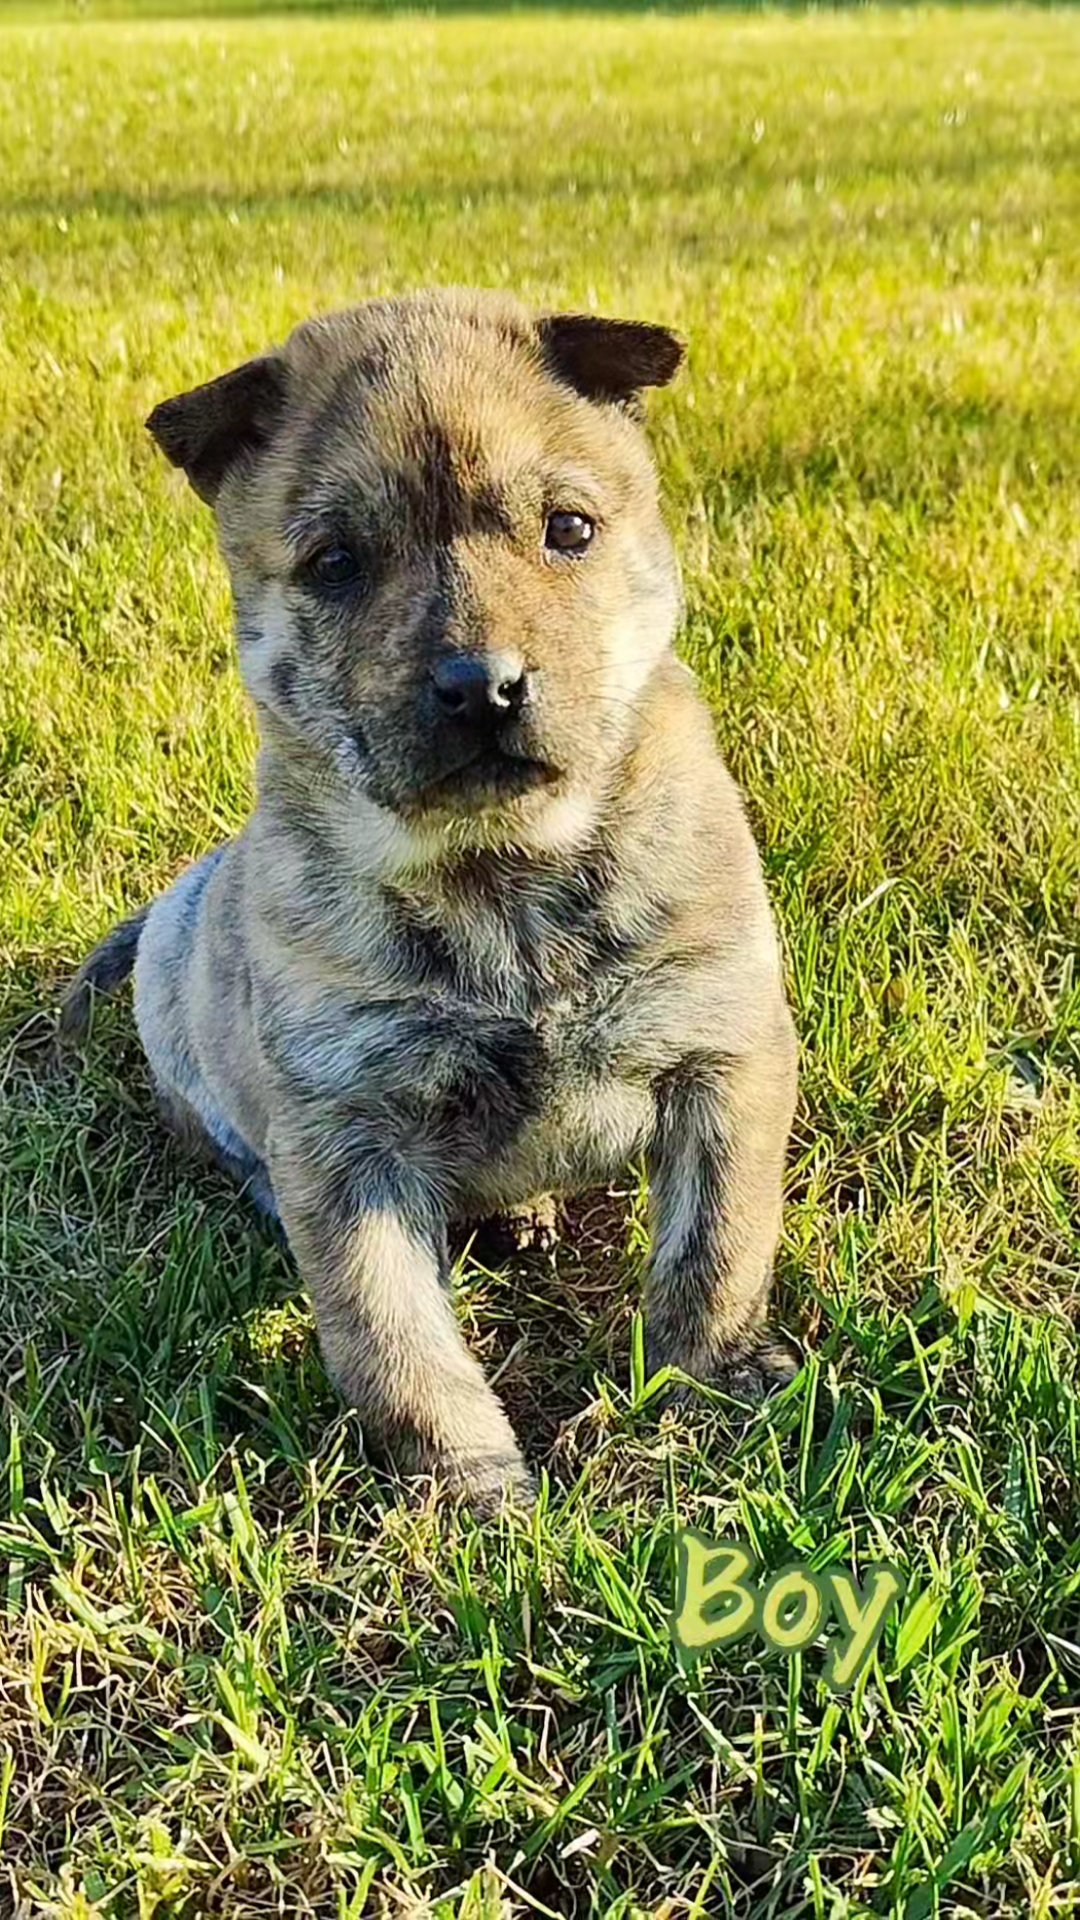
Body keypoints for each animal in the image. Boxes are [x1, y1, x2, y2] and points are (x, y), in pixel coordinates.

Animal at [61, 288, 799, 1512]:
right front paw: (470, 1488)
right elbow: (391, 1331)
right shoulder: (345, 1133)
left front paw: (704, 1390)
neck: (502, 878)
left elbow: (717, 1247)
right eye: (336, 562)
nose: (482, 687)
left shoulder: (720, 1050)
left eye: (570, 529)